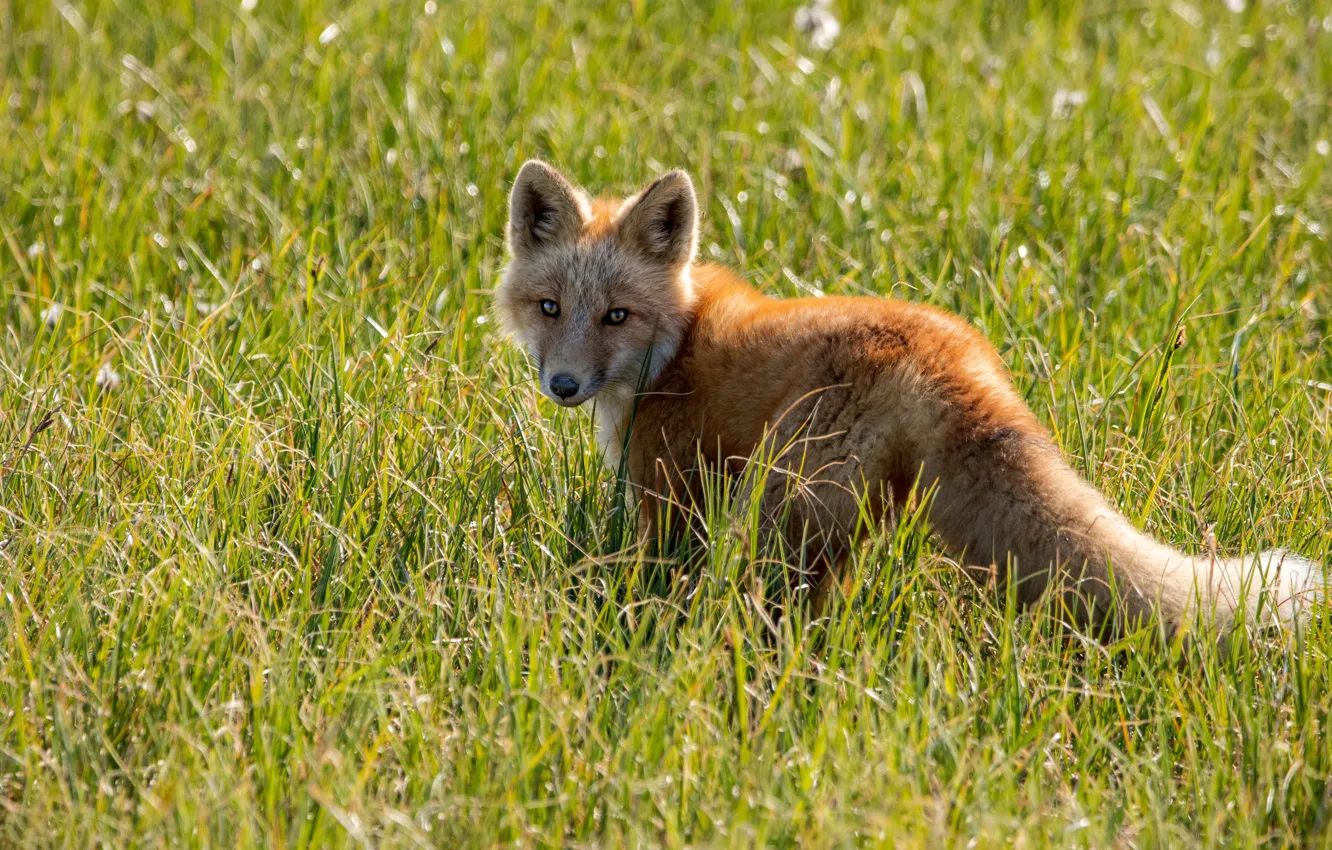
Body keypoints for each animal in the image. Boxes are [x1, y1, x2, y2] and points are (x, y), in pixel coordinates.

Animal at [494, 158, 1320, 639]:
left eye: (616, 316)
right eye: (550, 308)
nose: (563, 386)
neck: (678, 343)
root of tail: (954, 350)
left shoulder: (667, 496)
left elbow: (644, 577)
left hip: (782, 512)